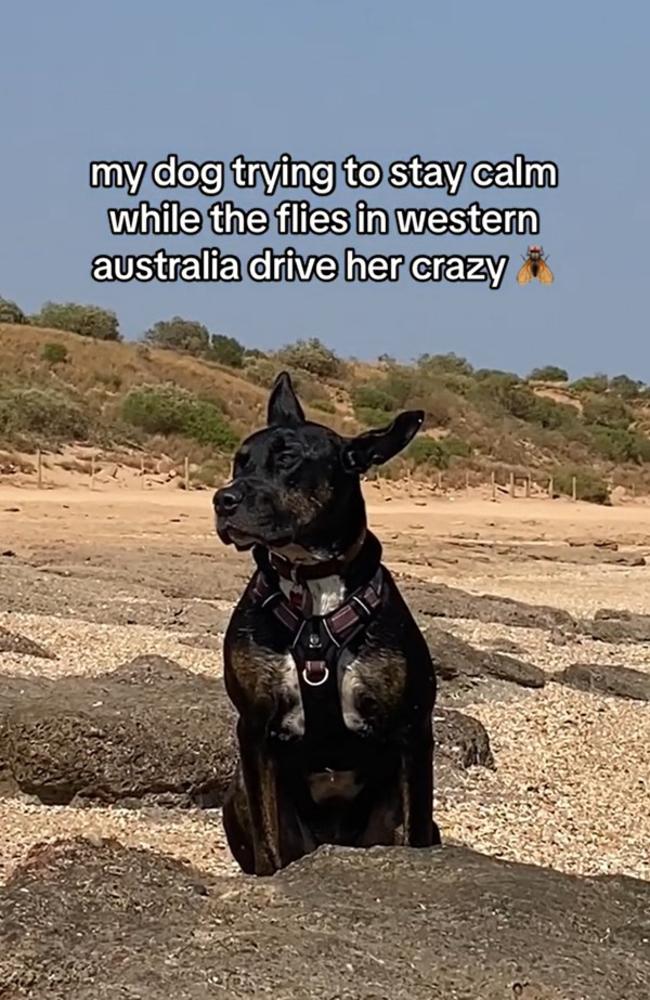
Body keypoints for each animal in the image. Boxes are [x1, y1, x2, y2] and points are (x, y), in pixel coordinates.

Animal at [213, 372, 440, 872]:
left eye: (288, 458)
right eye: (240, 461)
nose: (222, 499)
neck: (313, 587)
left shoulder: (413, 731)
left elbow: (414, 829)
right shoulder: (254, 729)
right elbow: (267, 841)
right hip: (235, 796)